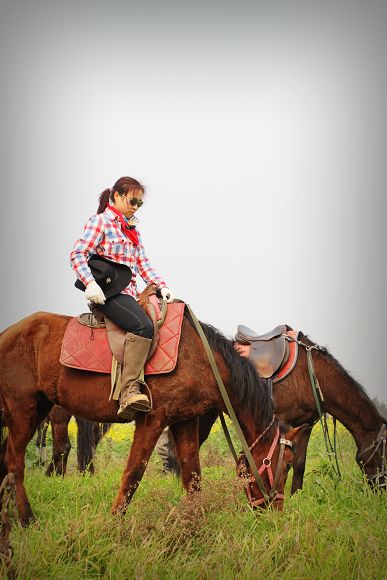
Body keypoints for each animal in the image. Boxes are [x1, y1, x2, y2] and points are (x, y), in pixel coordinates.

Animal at [0, 312, 306, 524]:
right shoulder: (152, 420)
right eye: (285, 465)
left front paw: (195, 525)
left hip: (37, 409)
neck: (200, 359)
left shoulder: (185, 421)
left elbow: (192, 478)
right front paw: (114, 523)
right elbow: (133, 474)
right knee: (15, 463)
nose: (275, 514)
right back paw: (27, 519)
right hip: (22, 409)